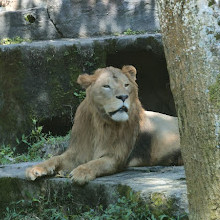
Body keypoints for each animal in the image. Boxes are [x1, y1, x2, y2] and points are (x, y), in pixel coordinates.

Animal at [25, 65, 181, 184]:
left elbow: (96, 163)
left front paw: (81, 172)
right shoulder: (77, 151)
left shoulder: (116, 157)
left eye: (126, 85)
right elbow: (55, 158)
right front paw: (36, 169)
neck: (100, 123)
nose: (123, 96)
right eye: (106, 86)